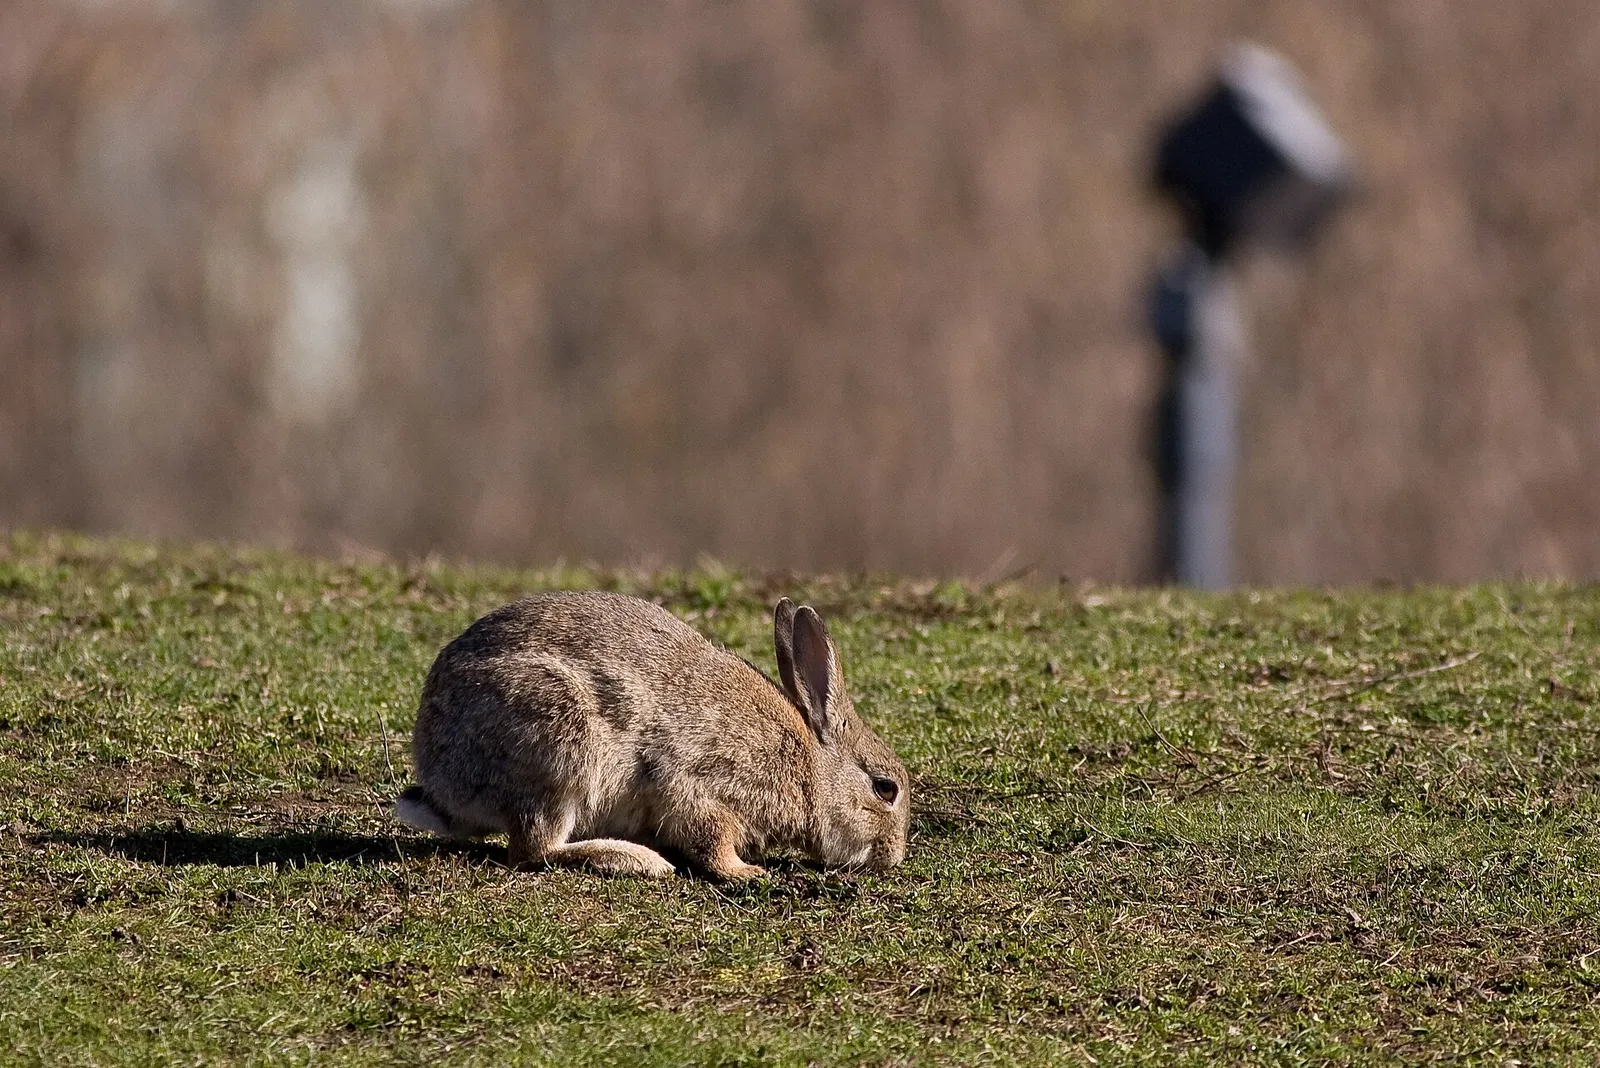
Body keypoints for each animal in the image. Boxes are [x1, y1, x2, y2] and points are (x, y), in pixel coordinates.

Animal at [394, 590, 909, 880]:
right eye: (885, 789)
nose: (894, 856)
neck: (810, 770)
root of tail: (441, 782)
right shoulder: (700, 784)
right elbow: (711, 836)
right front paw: (748, 872)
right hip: (559, 740)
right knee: (534, 848)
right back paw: (639, 861)